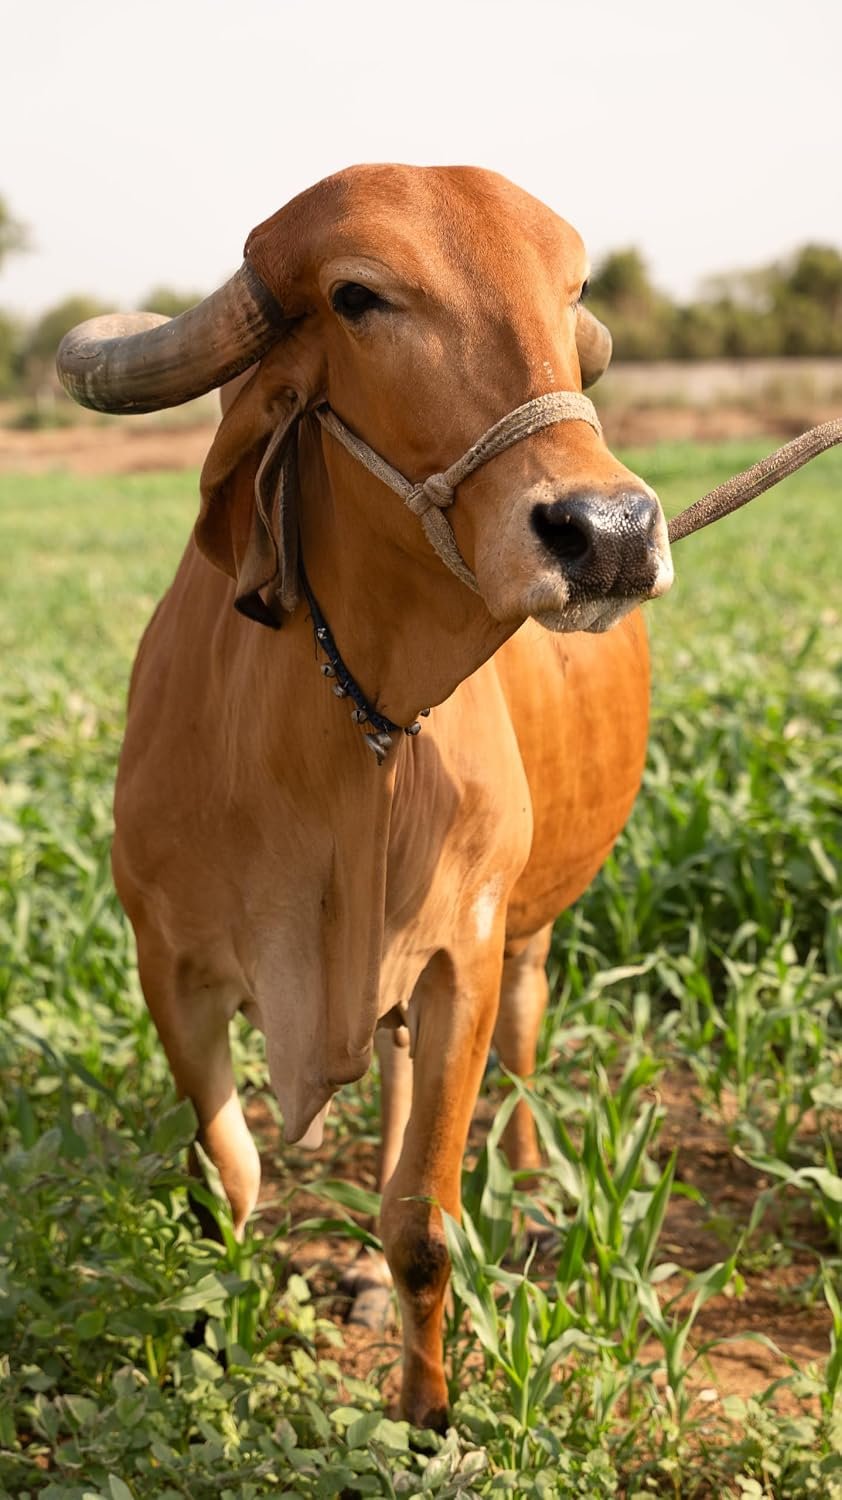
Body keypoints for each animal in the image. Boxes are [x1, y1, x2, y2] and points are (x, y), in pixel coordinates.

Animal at [57, 164, 674, 1430]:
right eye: (357, 297)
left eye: (571, 288)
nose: (607, 532)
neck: (342, 733)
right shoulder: (168, 963)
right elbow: (228, 1179)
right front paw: (221, 1339)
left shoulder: (459, 954)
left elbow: (422, 1221)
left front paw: (426, 1414)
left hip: (525, 935)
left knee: (522, 1048)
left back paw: (528, 1191)